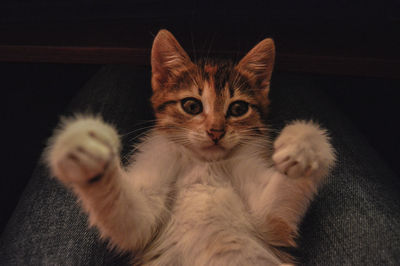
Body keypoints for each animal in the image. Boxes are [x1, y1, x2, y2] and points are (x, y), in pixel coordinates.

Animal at [46, 29, 334, 266]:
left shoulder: (270, 223)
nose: (216, 131)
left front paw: (305, 145)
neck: (204, 164)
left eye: (238, 108)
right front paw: (88, 149)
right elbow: (129, 220)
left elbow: (275, 211)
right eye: (192, 105)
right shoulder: (144, 221)